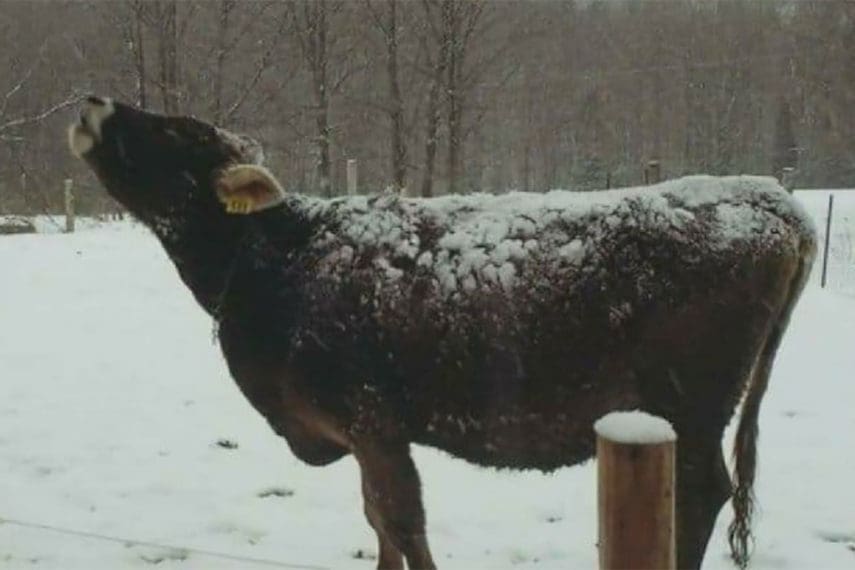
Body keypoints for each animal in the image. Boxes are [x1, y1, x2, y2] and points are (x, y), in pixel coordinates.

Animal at [69, 97, 816, 570]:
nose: (93, 103)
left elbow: (403, 523)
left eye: (178, 134)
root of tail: (766, 196)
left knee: (700, 496)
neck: (277, 257)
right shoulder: (361, 435)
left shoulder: (373, 423)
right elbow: (379, 526)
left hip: (688, 409)